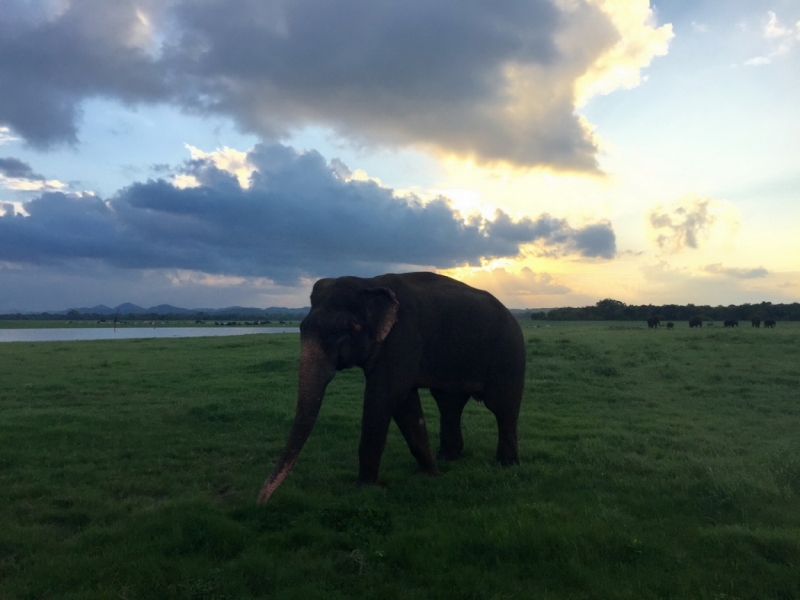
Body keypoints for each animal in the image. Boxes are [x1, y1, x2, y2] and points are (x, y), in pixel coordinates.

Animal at [260, 274, 528, 504]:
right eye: (302, 328)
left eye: (348, 329)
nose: (261, 501)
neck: (369, 283)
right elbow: (404, 403)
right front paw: (431, 474)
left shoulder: (402, 338)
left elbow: (385, 396)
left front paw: (364, 488)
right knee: (449, 403)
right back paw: (448, 458)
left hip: (510, 354)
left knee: (502, 407)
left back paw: (506, 465)